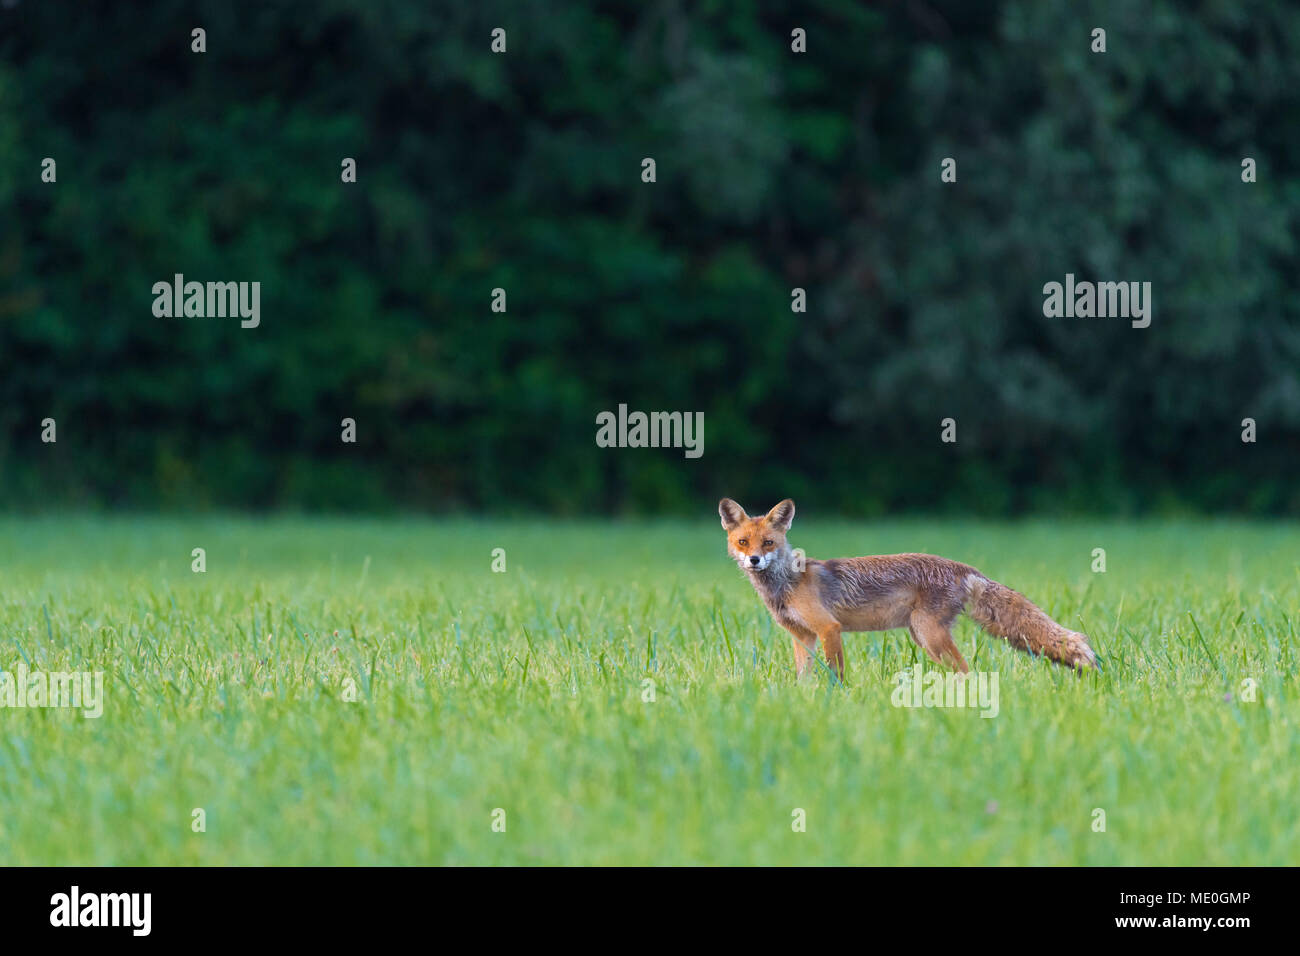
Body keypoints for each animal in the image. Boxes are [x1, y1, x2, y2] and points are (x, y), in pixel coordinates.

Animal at [719, 498, 1098, 679]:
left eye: (768, 542)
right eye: (743, 542)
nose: (754, 559)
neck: (786, 584)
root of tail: (965, 567)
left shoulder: (829, 628)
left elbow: (836, 674)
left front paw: (837, 699)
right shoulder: (803, 636)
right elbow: (803, 679)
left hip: (929, 634)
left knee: (967, 671)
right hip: (923, 636)